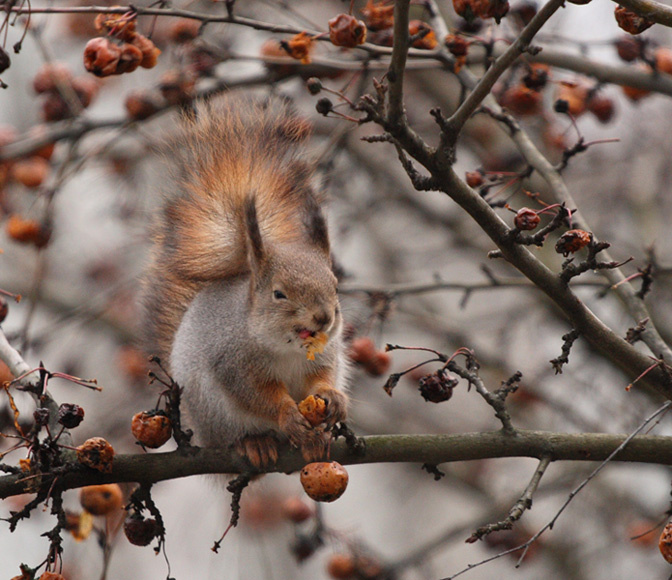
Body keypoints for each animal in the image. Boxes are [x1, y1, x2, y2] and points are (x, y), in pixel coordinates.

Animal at [142, 96, 349, 468]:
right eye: (279, 294)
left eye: (335, 285)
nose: (324, 317)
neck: (287, 349)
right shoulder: (233, 364)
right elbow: (257, 396)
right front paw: (286, 415)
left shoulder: (327, 354)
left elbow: (322, 377)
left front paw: (333, 396)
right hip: (217, 415)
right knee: (239, 434)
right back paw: (256, 443)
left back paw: (315, 442)